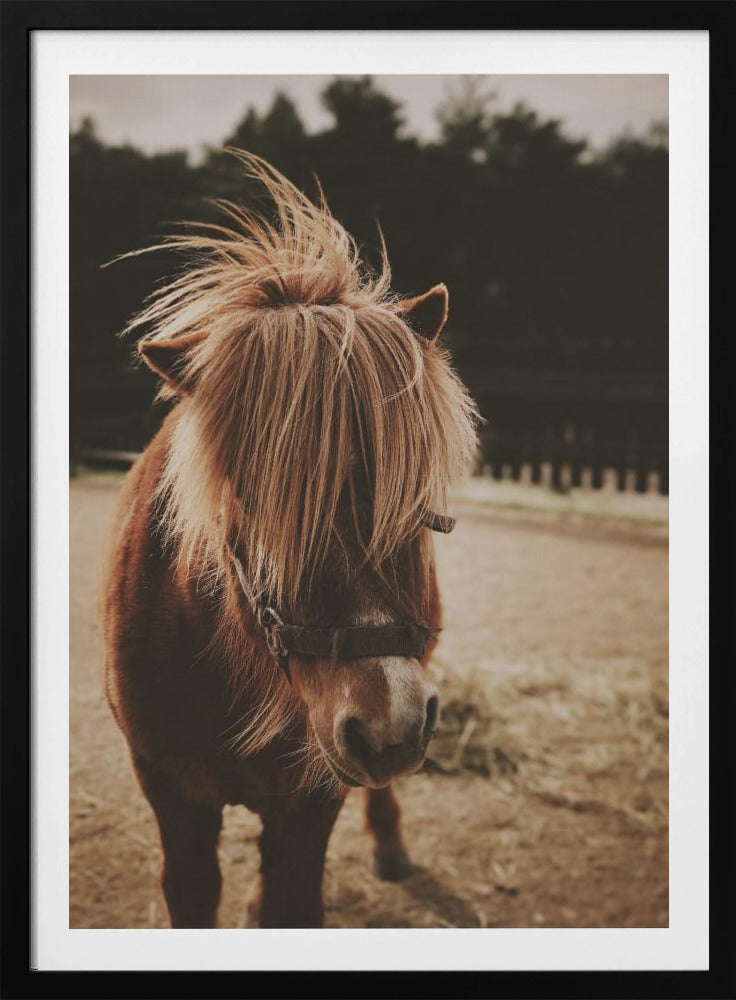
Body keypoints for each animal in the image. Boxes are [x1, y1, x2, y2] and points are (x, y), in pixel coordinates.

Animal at [102, 151, 478, 928]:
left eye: (413, 493)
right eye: (251, 501)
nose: (388, 726)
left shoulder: (312, 802)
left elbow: (292, 895)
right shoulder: (174, 802)